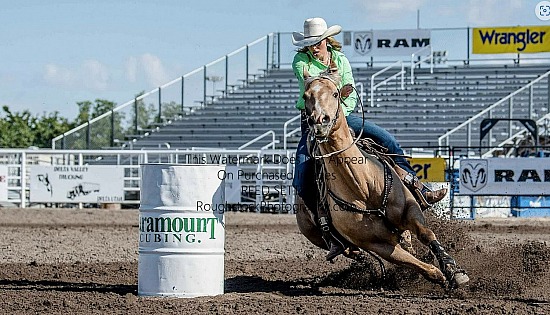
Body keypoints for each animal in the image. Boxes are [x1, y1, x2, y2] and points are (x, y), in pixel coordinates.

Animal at [296, 66, 472, 288]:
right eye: (305, 96)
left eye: (335, 94)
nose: (319, 122)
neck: (363, 186)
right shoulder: (376, 243)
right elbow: (415, 264)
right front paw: (438, 274)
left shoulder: (410, 210)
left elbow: (426, 233)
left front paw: (454, 271)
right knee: (353, 251)